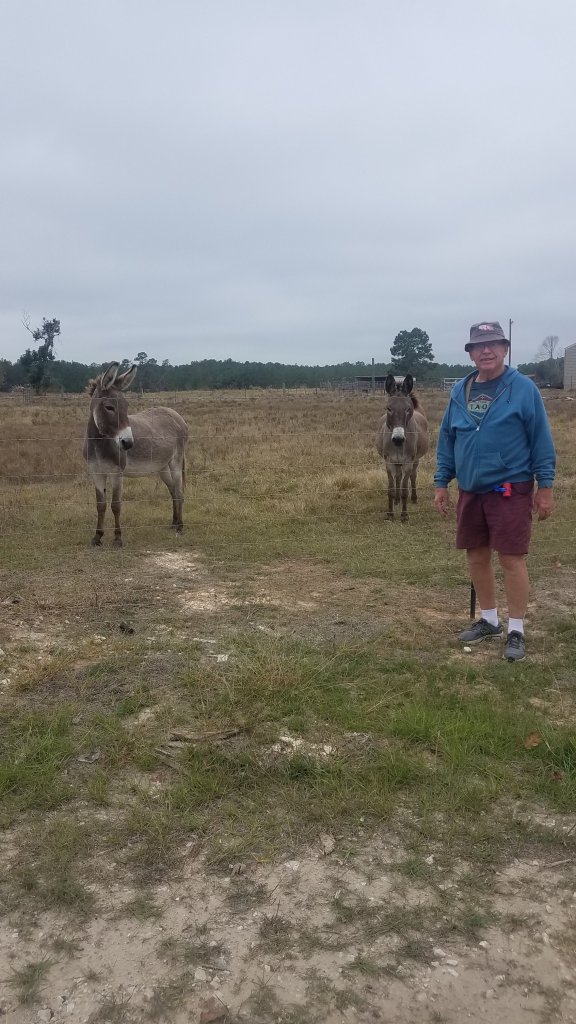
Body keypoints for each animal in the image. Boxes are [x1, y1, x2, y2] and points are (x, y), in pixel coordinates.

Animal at [83, 362, 188, 547]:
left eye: (126, 407)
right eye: (109, 407)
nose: (128, 443)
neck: (99, 444)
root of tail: (175, 414)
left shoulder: (117, 473)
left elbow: (115, 505)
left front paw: (117, 538)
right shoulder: (96, 472)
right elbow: (100, 505)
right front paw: (97, 537)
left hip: (175, 461)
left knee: (179, 492)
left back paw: (180, 527)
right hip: (162, 467)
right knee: (173, 491)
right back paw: (174, 522)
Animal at [375, 373, 429, 521]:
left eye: (407, 409)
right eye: (388, 408)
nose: (398, 439)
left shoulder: (408, 462)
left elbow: (405, 489)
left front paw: (404, 515)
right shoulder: (389, 462)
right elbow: (391, 488)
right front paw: (390, 514)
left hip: (415, 460)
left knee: (413, 476)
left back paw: (414, 498)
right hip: (397, 462)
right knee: (398, 477)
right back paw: (397, 500)